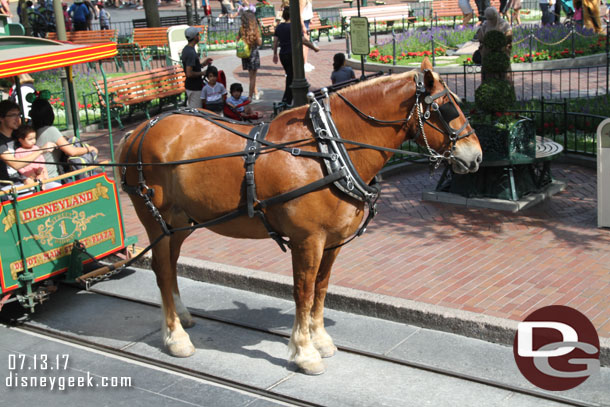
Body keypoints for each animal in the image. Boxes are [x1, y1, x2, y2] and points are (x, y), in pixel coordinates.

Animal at [119, 58, 480, 376]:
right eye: (447, 108)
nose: (476, 156)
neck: (328, 151)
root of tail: (138, 131)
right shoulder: (307, 240)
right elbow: (303, 293)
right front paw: (304, 353)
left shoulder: (332, 242)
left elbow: (321, 288)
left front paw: (320, 340)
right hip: (155, 218)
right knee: (162, 269)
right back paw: (175, 337)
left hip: (178, 224)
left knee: (171, 264)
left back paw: (181, 316)